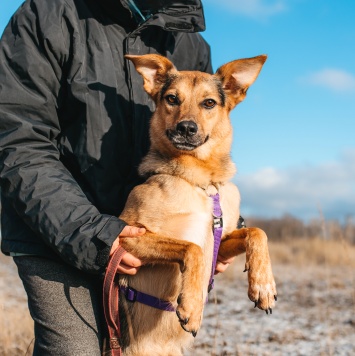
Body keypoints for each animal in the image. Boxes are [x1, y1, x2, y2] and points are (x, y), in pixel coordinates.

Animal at [117, 53, 278, 356]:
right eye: (171, 99)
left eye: (209, 103)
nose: (186, 128)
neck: (202, 181)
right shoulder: (128, 236)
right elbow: (192, 249)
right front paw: (191, 305)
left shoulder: (221, 239)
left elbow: (257, 232)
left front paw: (263, 285)